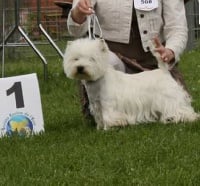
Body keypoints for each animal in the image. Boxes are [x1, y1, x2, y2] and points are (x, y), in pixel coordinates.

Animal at [63, 38, 199, 129]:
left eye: (92, 59)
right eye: (75, 58)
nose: (80, 67)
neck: (97, 82)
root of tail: (164, 71)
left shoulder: (108, 103)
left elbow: (109, 116)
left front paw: (110, 127)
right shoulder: (96, 104)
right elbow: (100, 117)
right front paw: (100, 128)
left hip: (171, 98)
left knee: (183, 109)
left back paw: (188, 118)